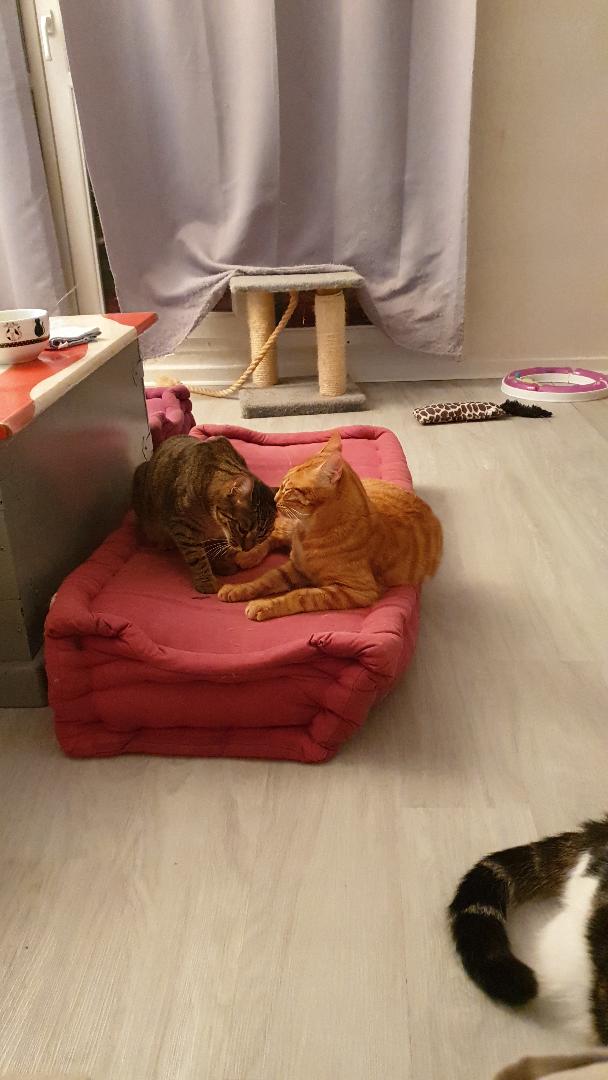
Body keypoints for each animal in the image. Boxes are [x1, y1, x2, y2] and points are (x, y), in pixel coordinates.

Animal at [132, 434, 276, 593]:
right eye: (242, 529)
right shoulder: (182, 526)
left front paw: (222, 563)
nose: (246, 549)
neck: (214, 522)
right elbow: (197, 557)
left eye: (261, 537)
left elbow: (216, 549)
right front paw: (206, 581)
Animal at [217, 431, 442, 621]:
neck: (308, 535)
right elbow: (266, 578)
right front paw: (238, 588)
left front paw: (263, 605)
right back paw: (248, 555)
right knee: (276, 532)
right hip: (288, 528)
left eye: (289, 489)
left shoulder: (354, 591)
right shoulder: (295, 566)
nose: (274, 499)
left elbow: (299, 595)